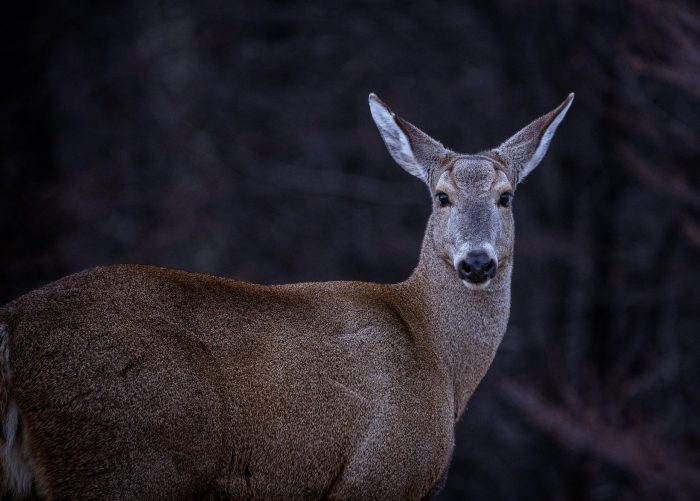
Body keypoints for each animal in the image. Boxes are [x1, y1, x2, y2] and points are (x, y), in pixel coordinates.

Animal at [0, 92, 572, 498]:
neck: (438, 358)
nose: (476, 262)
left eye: (506, 196)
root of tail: (9, 331)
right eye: (442, 196)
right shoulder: (378, 470)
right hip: (128, 458)